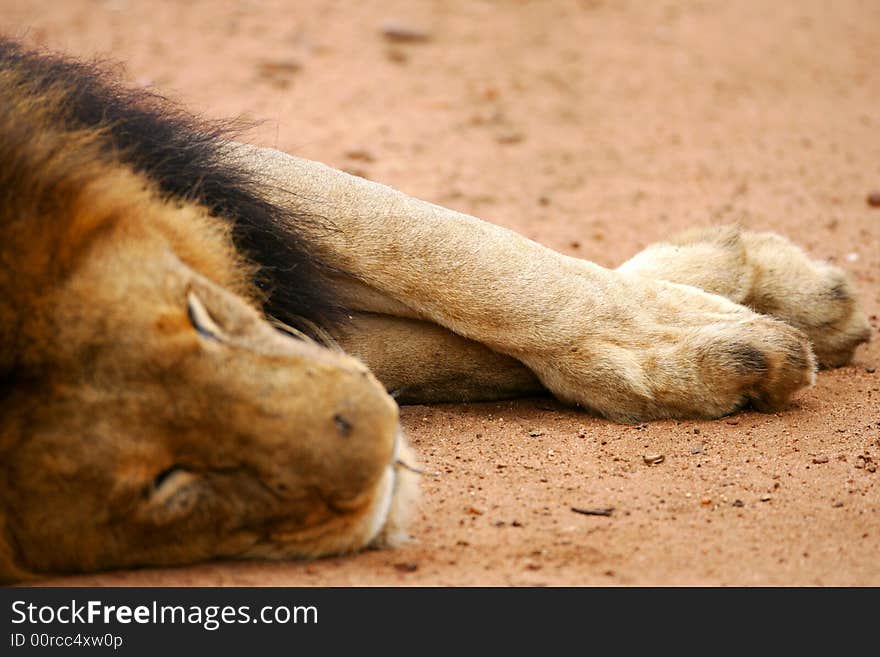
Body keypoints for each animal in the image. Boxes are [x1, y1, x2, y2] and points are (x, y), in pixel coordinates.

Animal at [0, 37, 868, 580]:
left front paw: (743, 292)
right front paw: (707, 341)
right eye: (167, 485)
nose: (382, 441)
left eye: (198, 319)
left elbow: (449, 250)